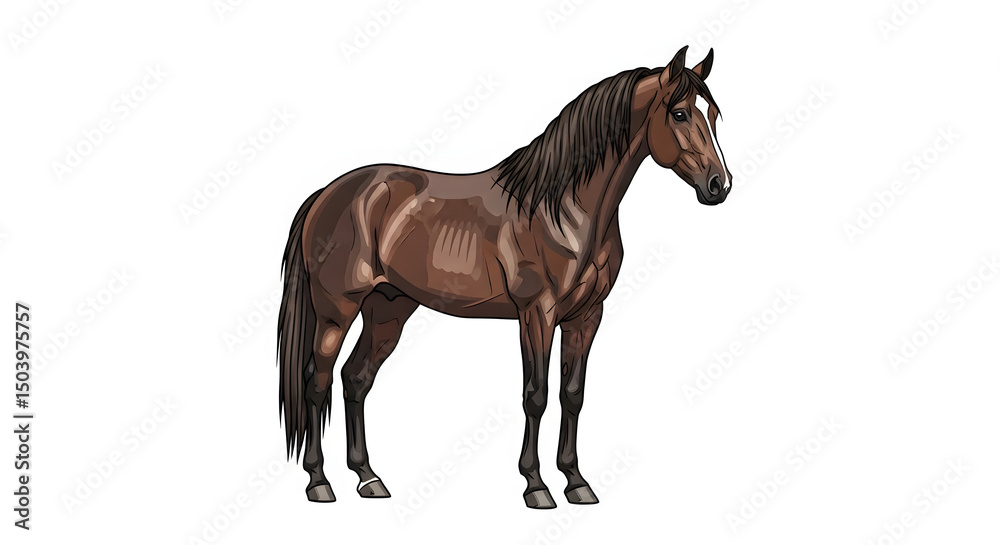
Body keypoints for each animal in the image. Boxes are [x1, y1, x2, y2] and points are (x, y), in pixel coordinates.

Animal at [277, 45, 731, 509]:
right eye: (679, 113)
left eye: (714, 114)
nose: (720, 185)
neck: (563, 208)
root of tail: (327, 194)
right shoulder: (537, 313)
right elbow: (537, 395)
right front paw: (536, 485)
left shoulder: (586, 317)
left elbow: (572, 395)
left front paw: (576, 482)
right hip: (338, 310)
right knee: (317, 381)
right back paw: (319, 482)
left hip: (388, 308)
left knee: (355, 380)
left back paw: (368, 478)